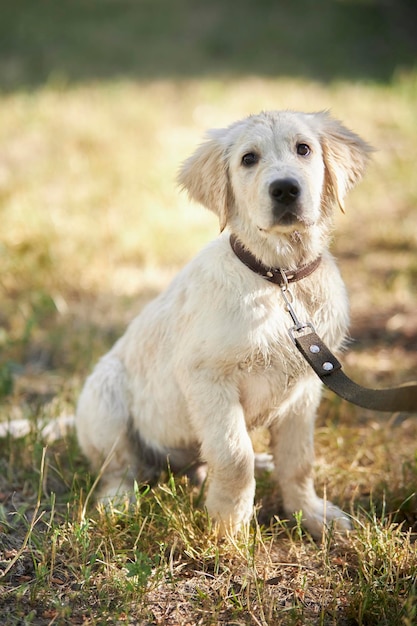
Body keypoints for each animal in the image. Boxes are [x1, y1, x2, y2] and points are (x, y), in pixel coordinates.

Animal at [76, 109, 368, 532]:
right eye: (249, 159)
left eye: (304, 149)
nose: (285, 190)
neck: (279, 277)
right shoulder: (207, 378)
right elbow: (234, 455)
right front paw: (228, 526)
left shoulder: (306, 388)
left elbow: (298, 460)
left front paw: (310, 514)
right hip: (104, 394)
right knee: (119, 467)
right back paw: (119, 502)